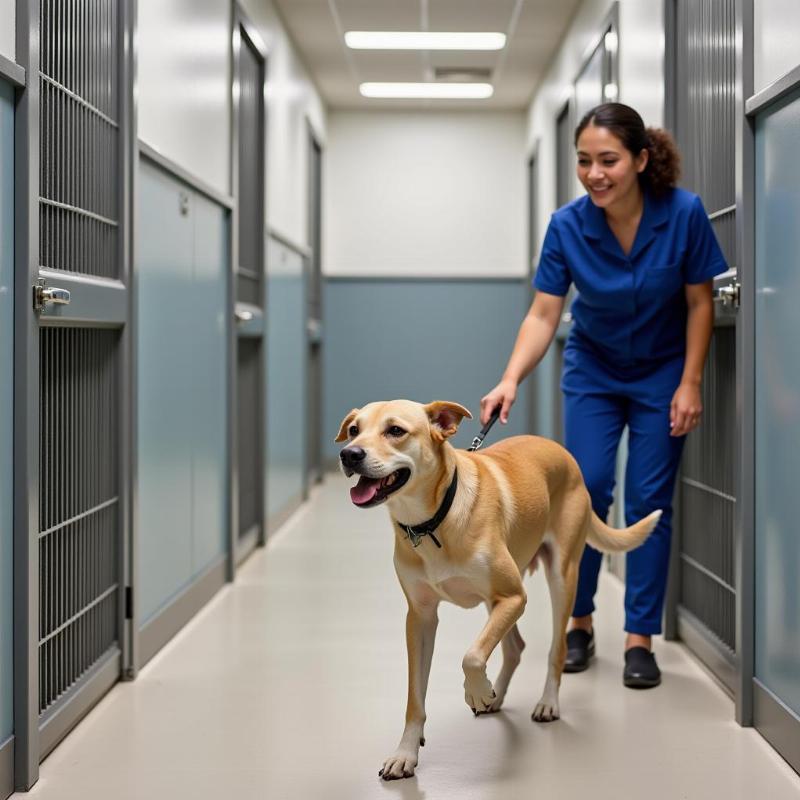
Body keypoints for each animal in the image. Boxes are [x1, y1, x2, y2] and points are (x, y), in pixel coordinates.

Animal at [334, 400, 660, 780]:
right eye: (354, 430)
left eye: (395, 430)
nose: (349, 454)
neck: (433, 522)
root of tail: (564, 454)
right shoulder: (421, 618)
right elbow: (416, 696)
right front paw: (405, 753)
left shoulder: (515, 596)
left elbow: (472, 655)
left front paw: (475, 692)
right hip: (496, 604)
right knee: (515, 647)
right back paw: (496, 695)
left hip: (561, 578)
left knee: (557, 648)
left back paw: (546, 702)